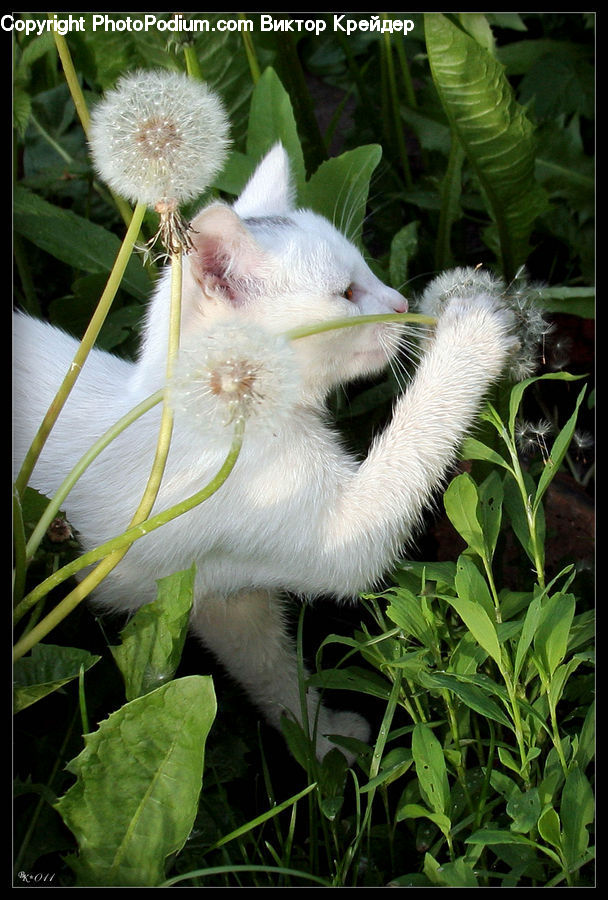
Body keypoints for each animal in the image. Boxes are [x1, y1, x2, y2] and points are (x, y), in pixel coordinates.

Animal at [13, 146, 516, 760]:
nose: (400, 303)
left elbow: (267, 667)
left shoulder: (214, 597)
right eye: (346, 294)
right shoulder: (331, 535)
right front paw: (471, 329)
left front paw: (318, 738)